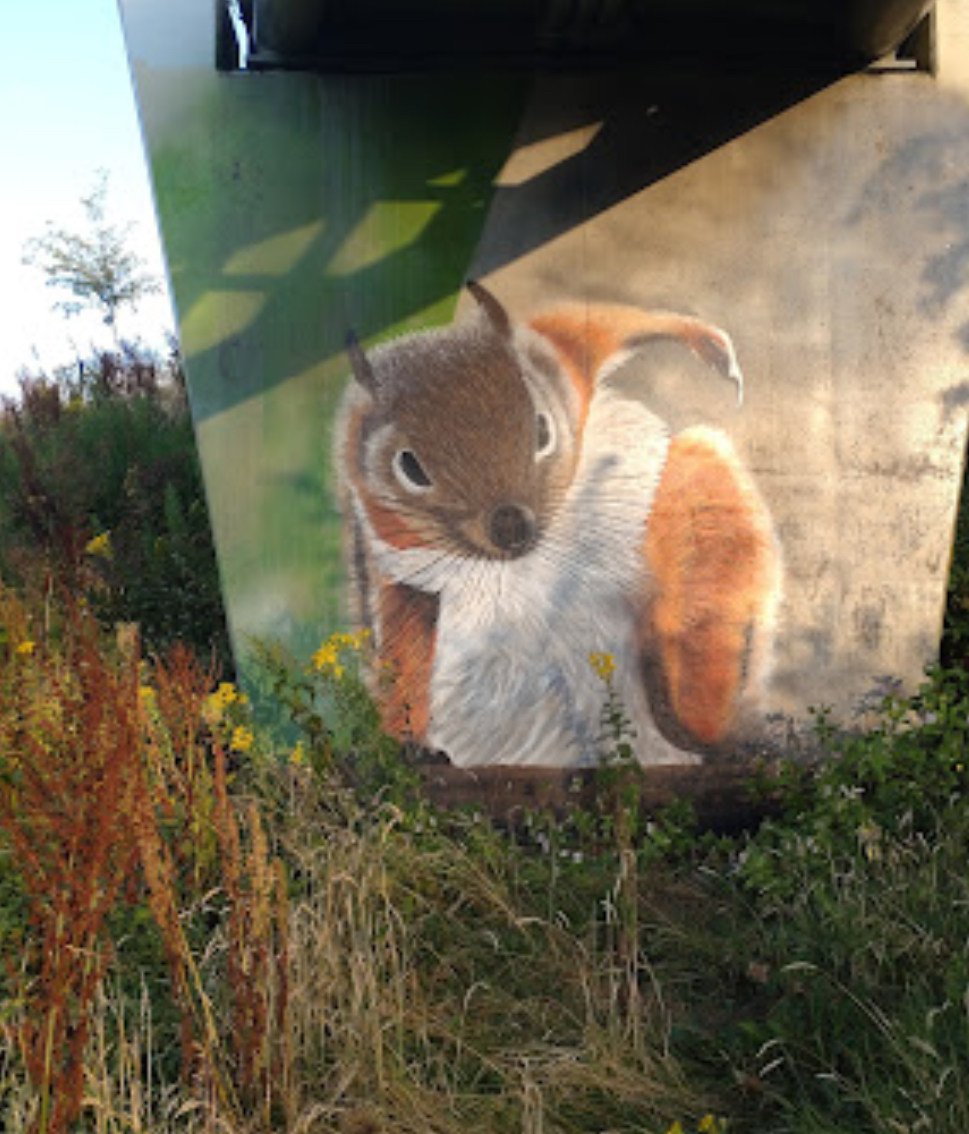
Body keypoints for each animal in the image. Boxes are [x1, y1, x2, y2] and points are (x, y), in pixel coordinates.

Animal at [334, 282, 780, 767]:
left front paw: (710, 344)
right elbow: (401, 648)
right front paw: (404, 744)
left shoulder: (561, 352)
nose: (511, 526)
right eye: (410, 467)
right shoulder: (395, 563)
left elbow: (603, 321)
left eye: (542, 429)